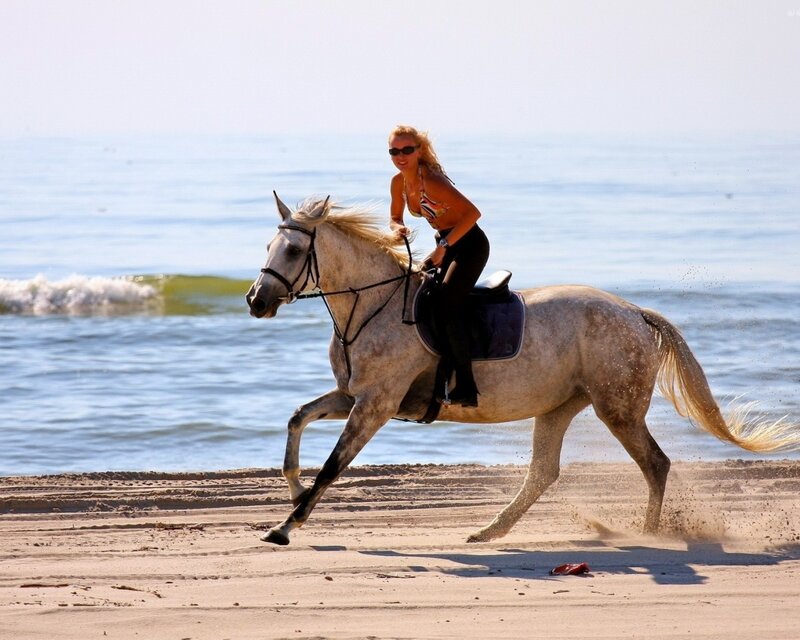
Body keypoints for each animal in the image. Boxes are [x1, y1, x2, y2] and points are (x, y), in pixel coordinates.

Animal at [246, 194, 798, 546]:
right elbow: (297, 419)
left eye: (292, 249)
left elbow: (332, 466)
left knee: (655, 464)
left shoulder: (376, 406)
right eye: (267, 248)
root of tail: (635, 313)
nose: (255, 301)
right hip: (560, 406)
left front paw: (285, 526)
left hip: (616, 409)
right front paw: (293, 492)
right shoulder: (353, 396)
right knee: (543, 473)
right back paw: (490, 531)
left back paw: (648, 535)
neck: (372, 306)